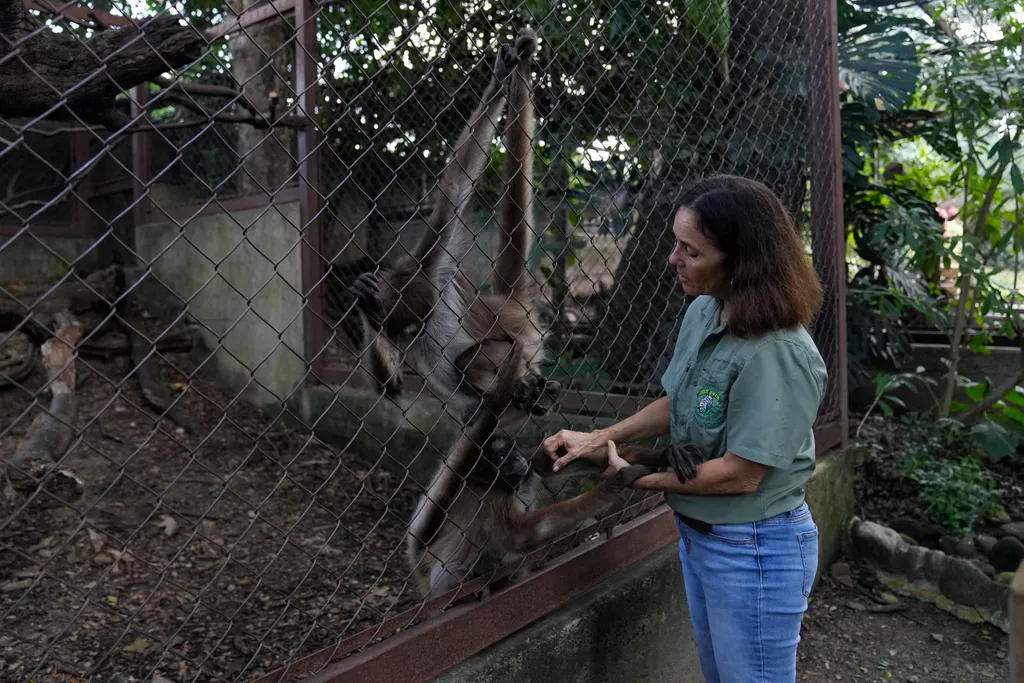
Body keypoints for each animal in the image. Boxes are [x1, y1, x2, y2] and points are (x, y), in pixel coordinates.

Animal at [352, 29, 561, 423]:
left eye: (422, 322)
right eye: (411, 328)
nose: (418, 332)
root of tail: (505, 303)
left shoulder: (432, 263)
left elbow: (457, 184)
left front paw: (499, 77)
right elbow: (390, 387)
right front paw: (365, 303)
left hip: (521, 343)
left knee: (468, 362)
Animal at [403, 342, 684, 598]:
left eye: (513, 450)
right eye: (503, 458)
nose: (517, 458)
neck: (510, 486)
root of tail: (422, 567)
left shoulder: (530, 466)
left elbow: (563, 461)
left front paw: (662, 455)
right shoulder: (489, 499)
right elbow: (522, 534)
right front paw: (616, 481)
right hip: (447, 584)